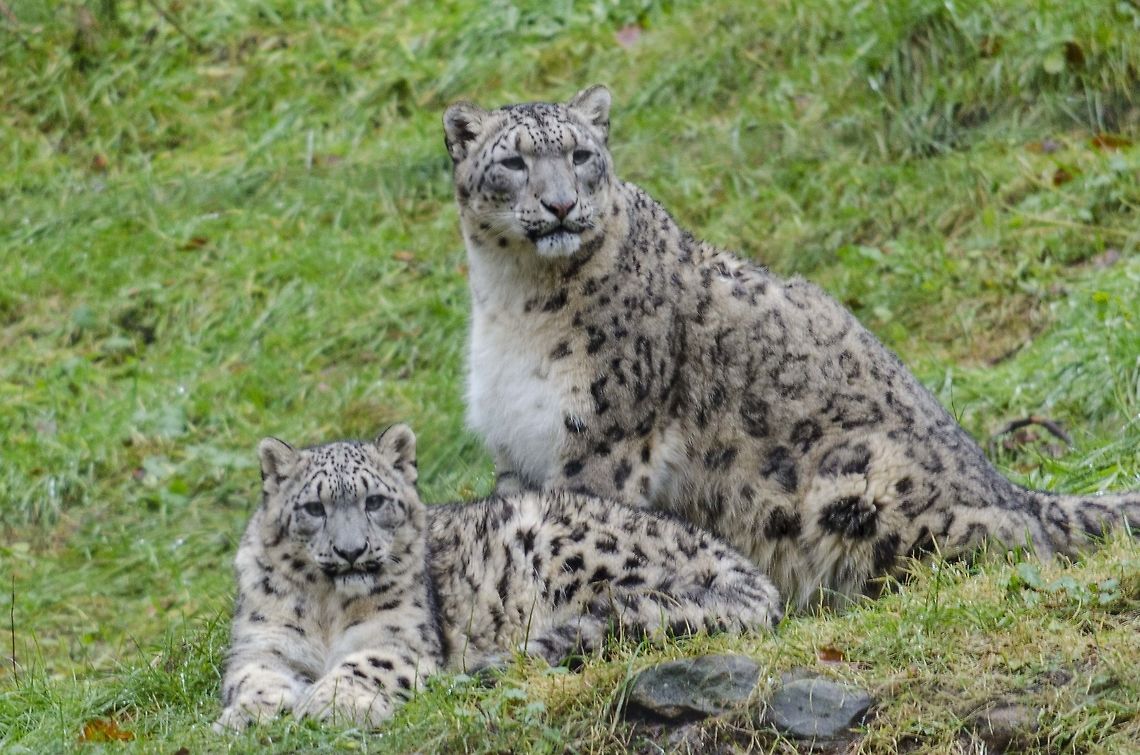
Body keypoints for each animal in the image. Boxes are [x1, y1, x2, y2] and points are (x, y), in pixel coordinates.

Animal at [214, 424, 780, 730]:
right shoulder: (264, 642)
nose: (351, 552)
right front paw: (249, 715)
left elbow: (366, 664)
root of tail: (752, 574)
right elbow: (253, 676)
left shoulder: (400, 639)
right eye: (313, 508)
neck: (328, 609)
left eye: (374, 501)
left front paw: (330, 704)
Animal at [442, 84, 1140, 609]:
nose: (561, 205)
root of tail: (1008, 484)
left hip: (858, 480)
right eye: (514, 163)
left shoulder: (603, 441)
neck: (515, 300)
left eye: (582, 154)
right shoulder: (514, 447)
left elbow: (588, 519)